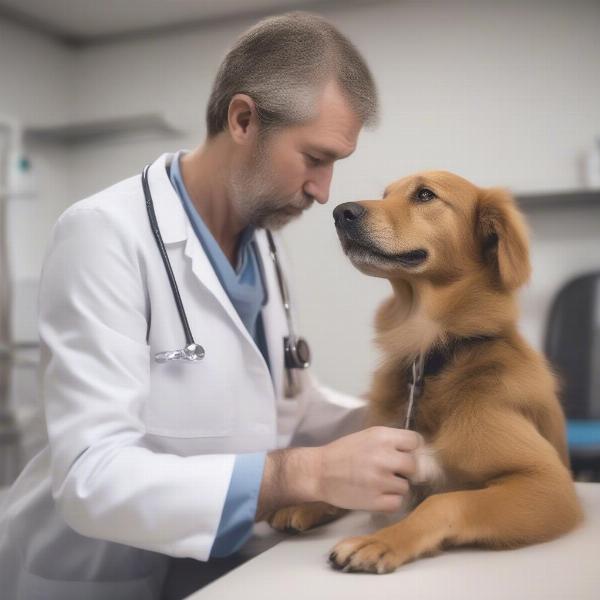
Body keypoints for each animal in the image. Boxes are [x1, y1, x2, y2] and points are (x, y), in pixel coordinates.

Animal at [270, 172, 584, 572]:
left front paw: (381, 540)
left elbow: (444, 501)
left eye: (424, 195)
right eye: (385, 193)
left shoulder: (549, 483)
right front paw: (307, 501)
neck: (430, 356)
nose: (341, 213)